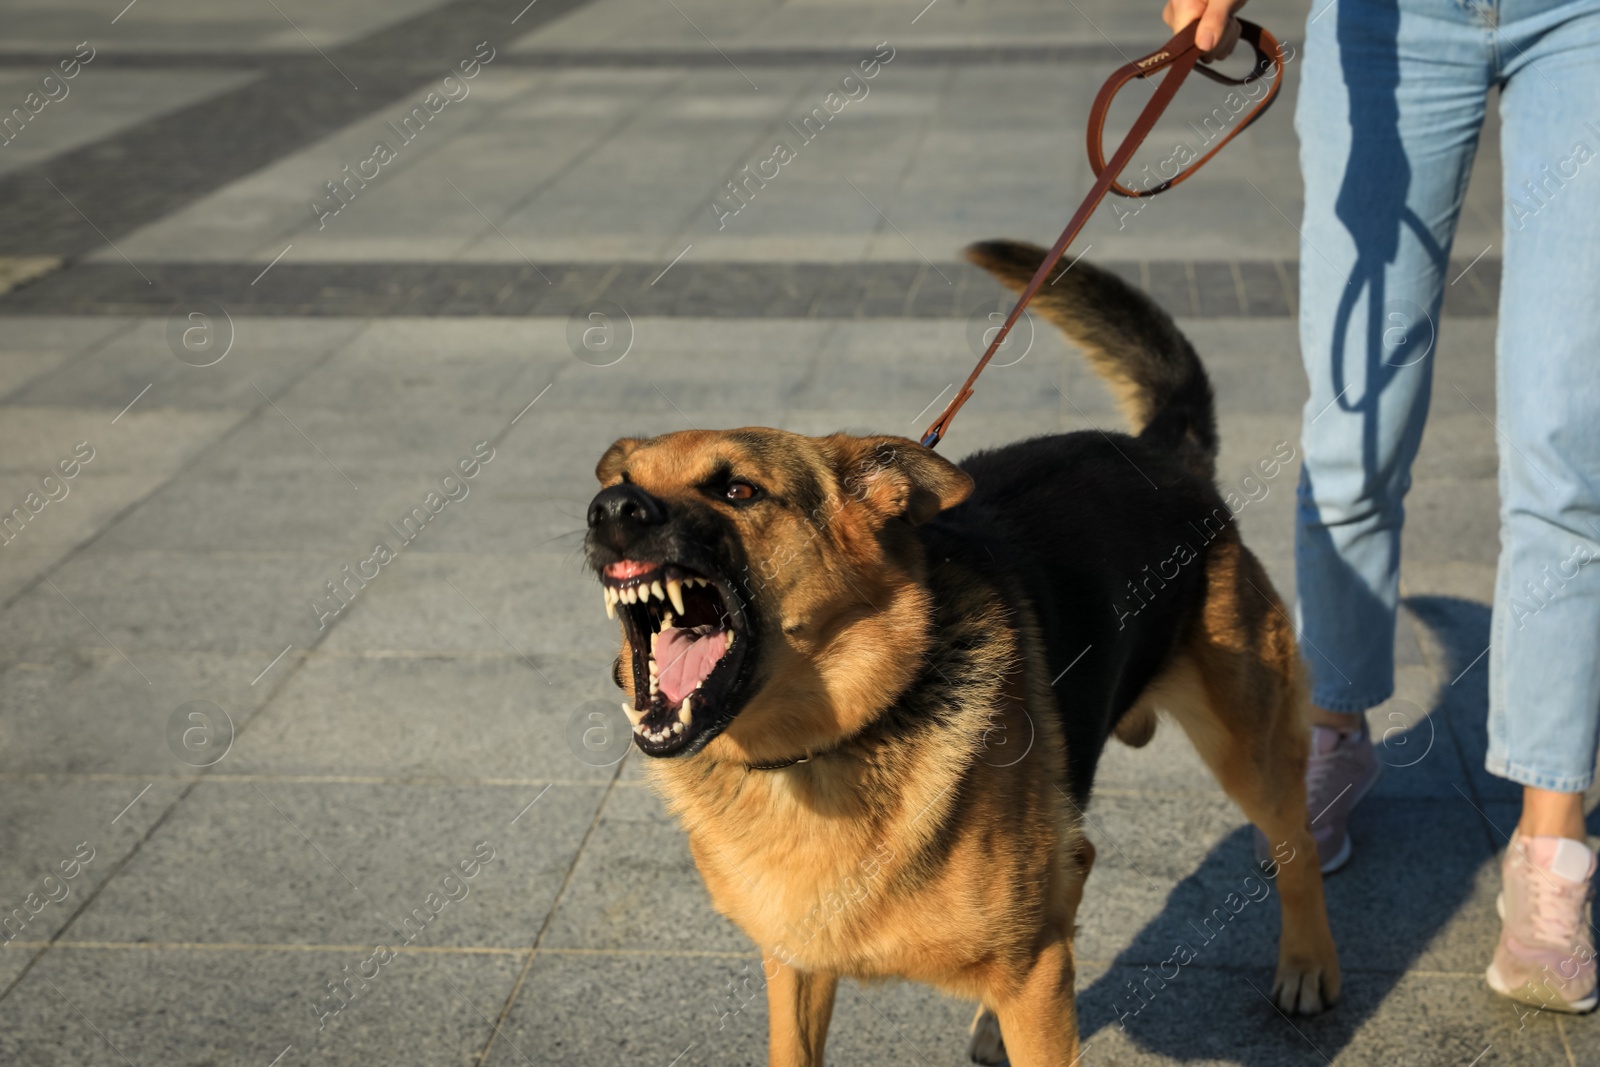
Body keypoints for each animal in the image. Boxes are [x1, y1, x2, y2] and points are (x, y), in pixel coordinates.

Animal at [585, 238, 1337, 1062]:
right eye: (625, 481)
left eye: (739, 491)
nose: (609, 510)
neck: (824, 747)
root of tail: (1164, 454)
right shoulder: (796, 965)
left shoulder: (1035, 975)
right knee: (1082, 865)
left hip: (1247, 747)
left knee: (1295, 839)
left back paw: (1309, 964)